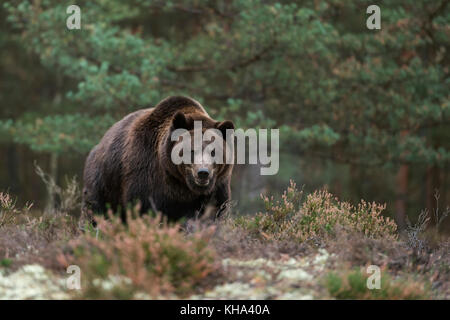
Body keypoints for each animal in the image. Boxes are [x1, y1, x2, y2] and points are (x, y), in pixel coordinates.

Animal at [81, 95, 236, 222]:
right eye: (192, 150)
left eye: (214, 151)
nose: (203, 172)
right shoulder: (146, 177)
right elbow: (143, 209)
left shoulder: (217, 187)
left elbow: (214, 213)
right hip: (103, 183)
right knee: (95, 210)